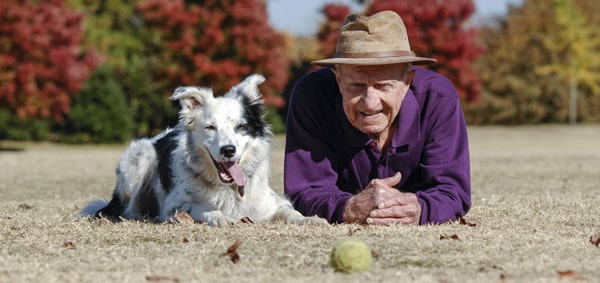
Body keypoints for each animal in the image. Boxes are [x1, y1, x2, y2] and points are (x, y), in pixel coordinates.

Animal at [81, 74, 328, 227]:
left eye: (241, 127)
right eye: (210, 127)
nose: (228, 150)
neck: (229, 189)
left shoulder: (272, 203)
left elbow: (290, 211)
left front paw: (310, 219)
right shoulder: (175, 205)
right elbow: (202, 207)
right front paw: (219, 217)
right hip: (140, 161)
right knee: (129, 208)